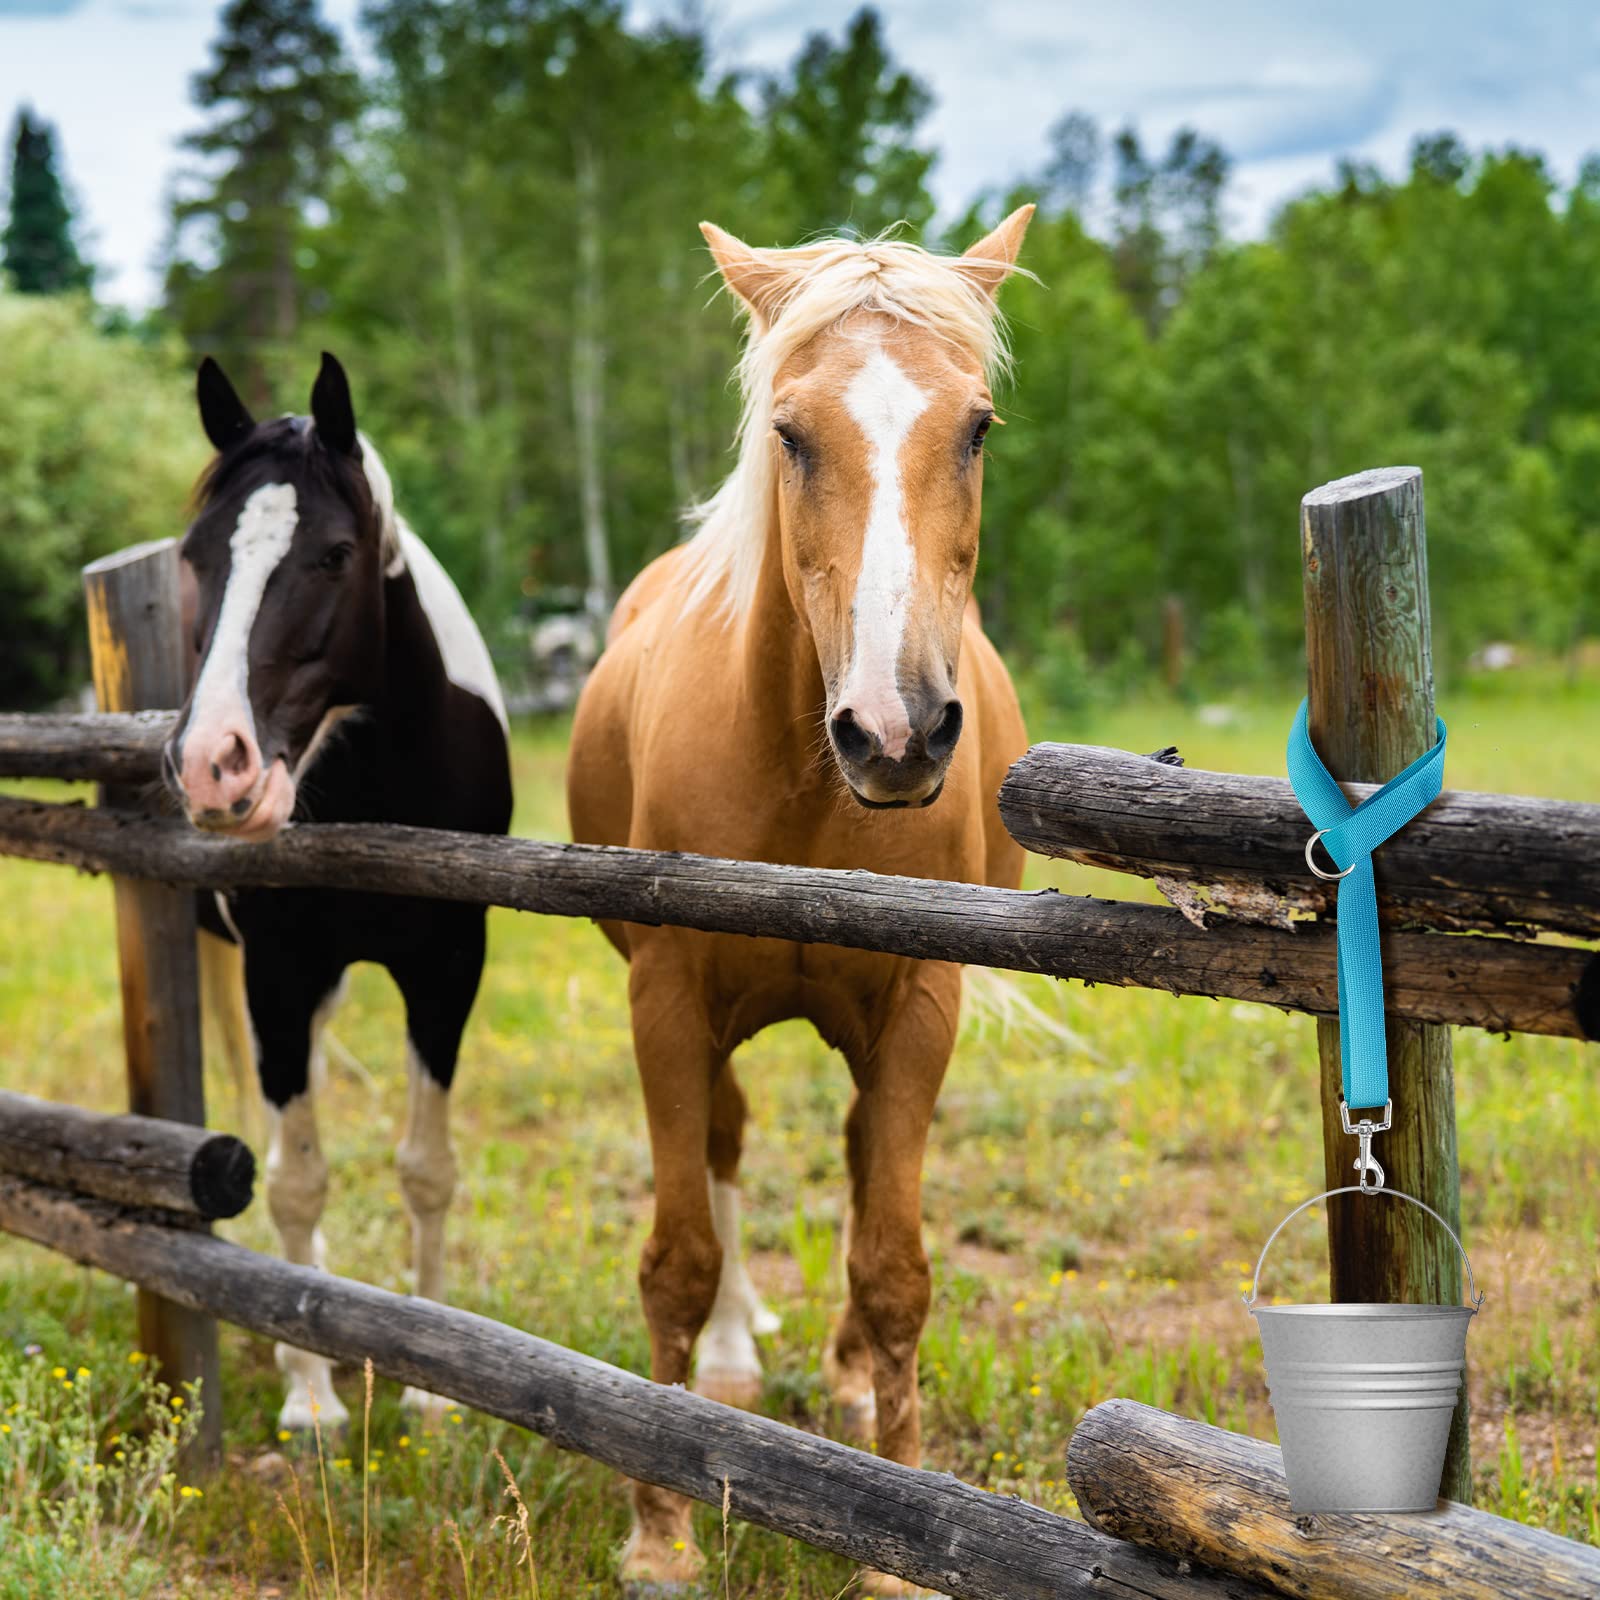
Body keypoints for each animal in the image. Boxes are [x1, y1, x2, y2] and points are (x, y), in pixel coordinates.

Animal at [164, 352, 514, 1431]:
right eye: (196, 555)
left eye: (333, 553)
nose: (212, 766)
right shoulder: (277, 969)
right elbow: (295, 1179)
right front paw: (310, 1394)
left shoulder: (447, 966)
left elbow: (427, 1170)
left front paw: (432, 1392)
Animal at [567, 205, 1034, 1594]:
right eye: (789, 431)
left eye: (975, 427)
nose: (897, 730)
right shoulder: (666, 998)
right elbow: (678, 1256)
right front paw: (659, 1530)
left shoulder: (920, 1004)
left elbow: (894, 1270)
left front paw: (895, 1543)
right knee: (724, 1147)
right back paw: (730, 1363)